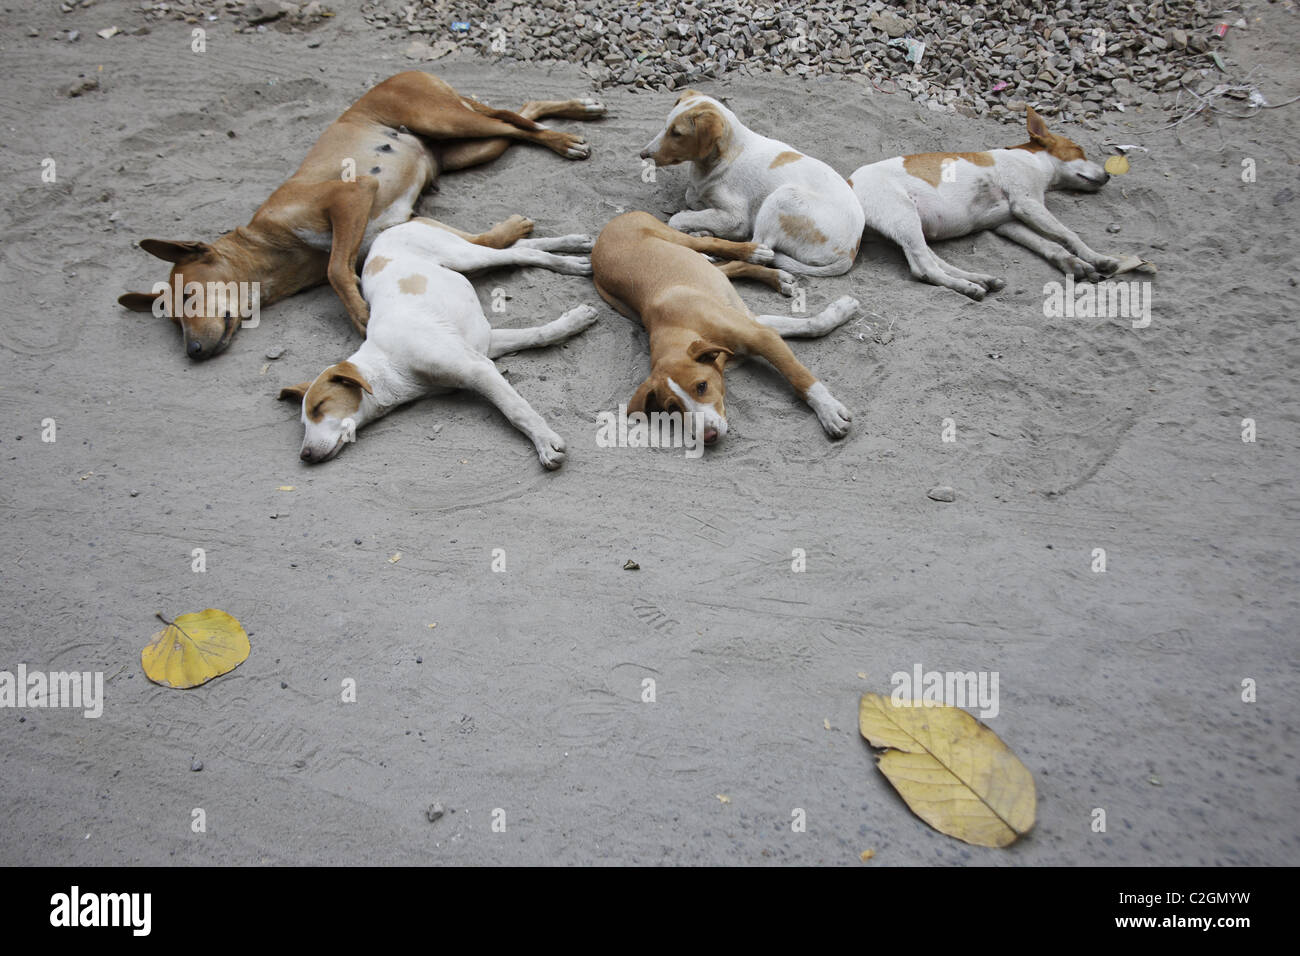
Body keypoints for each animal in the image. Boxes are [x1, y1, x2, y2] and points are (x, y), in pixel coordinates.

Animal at [116, 70, 603, 361]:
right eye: (174, 320)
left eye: (189, 297)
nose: (194, 351)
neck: (268, 247)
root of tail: (404, 72)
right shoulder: (393, 223)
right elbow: (489, 242)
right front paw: (517, 233)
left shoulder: (351, 195)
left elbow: (336, 269)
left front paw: (358, 313)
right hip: (471, 147)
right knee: (522, 115)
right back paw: (576, 110)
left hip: (447, 120)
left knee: (516, 122)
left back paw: (565, 138)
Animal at [279, 217, 598, 470]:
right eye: (304, 422)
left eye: (320, 407)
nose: (304, 456)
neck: (387, 364)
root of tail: (399, 224)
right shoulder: (483, 346)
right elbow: (539, 334)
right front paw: (574, 322)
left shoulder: (476, 368)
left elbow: (516, 410)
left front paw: (545, 443)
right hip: (470, 263)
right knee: (516, 248)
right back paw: (575, 243)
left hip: (465, 256)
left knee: (520, 252)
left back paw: (570, 260)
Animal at [592, 213, 863, 444]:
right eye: (672, 408)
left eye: (701, 386)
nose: (709, 436)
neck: (680, 326)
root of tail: (604, 232)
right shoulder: (754, 324)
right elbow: (810, 325)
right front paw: (841, 311)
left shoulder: (760, 335)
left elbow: (799, 375)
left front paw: (829, 412)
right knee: (729, 267)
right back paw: (776, 277)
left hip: (675, 238)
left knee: (710, 242)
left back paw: (755, 253)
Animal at [639, 89, 863, 277]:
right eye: (665, 126)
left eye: (677, 133)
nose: (643, 154)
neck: (728, 155)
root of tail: (850, 252)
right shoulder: (700, 192)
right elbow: (693, 198)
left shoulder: (737, 218)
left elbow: (677, 218)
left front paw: (692, 221)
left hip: (782, 198)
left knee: (756, 250)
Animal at [847, 107, 1123, 299]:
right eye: (1078, 150)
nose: (1109, 175)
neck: (1035, 161)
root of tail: (849, 183)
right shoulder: (1027, 203)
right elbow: (1068, 234)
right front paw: (1097, 258)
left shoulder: (1008, 223)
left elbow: (1050, 244)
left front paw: (1073, 264)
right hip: (904, 218)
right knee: (924, 269)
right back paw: (967, 287)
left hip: (908, 228)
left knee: (934, 261)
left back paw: (980, 279)